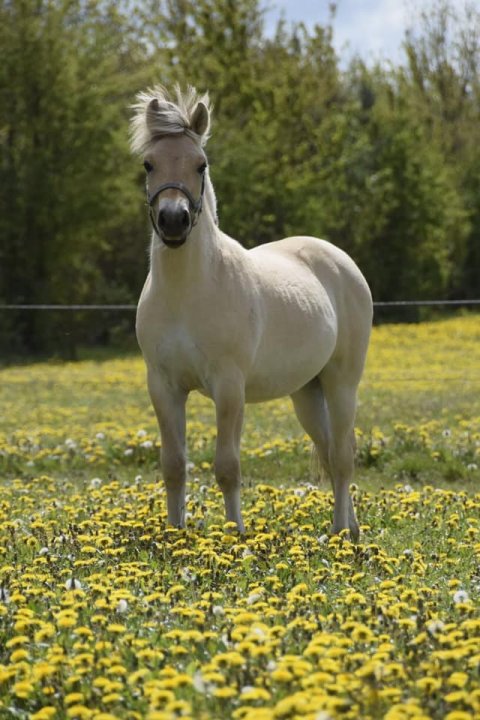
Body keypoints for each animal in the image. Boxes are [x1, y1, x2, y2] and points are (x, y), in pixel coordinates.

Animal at [131, 85, 373, 540]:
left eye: (201, 164)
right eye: (148, 163)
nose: (174, 221)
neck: (187, 292)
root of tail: (341, 260)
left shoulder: (229, 387)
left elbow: (227, 467)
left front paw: (233, 534)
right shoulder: (163, 386)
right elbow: (173, 466)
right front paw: (174, 534)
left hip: (341, 382)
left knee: (343, 456)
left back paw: (339, 532)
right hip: (307, 391)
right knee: (330, 450)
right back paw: (348, 528)